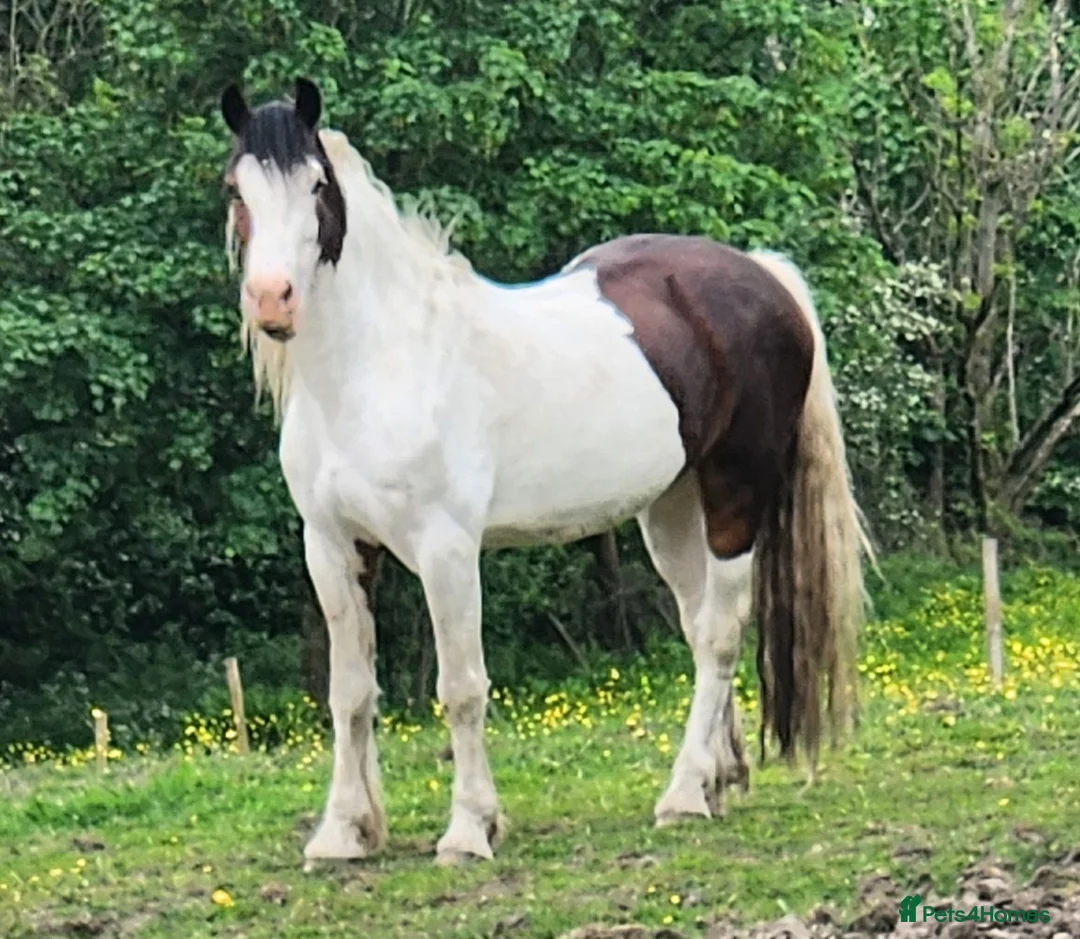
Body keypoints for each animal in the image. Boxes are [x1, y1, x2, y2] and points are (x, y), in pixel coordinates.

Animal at [218, 77, 872, 866]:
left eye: (316, 184)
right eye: (236, 189)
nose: (271, 298)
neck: (379, 365)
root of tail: (763, 276)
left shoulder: (446, 549)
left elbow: (462, 686)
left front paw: (470, 829)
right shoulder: (333, 546)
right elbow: (350, 692)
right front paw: (344, 831)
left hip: (732, 496)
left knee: (719, 632)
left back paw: (684, 794)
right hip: (670, 508)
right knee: (698, 627)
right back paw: (717, 776)